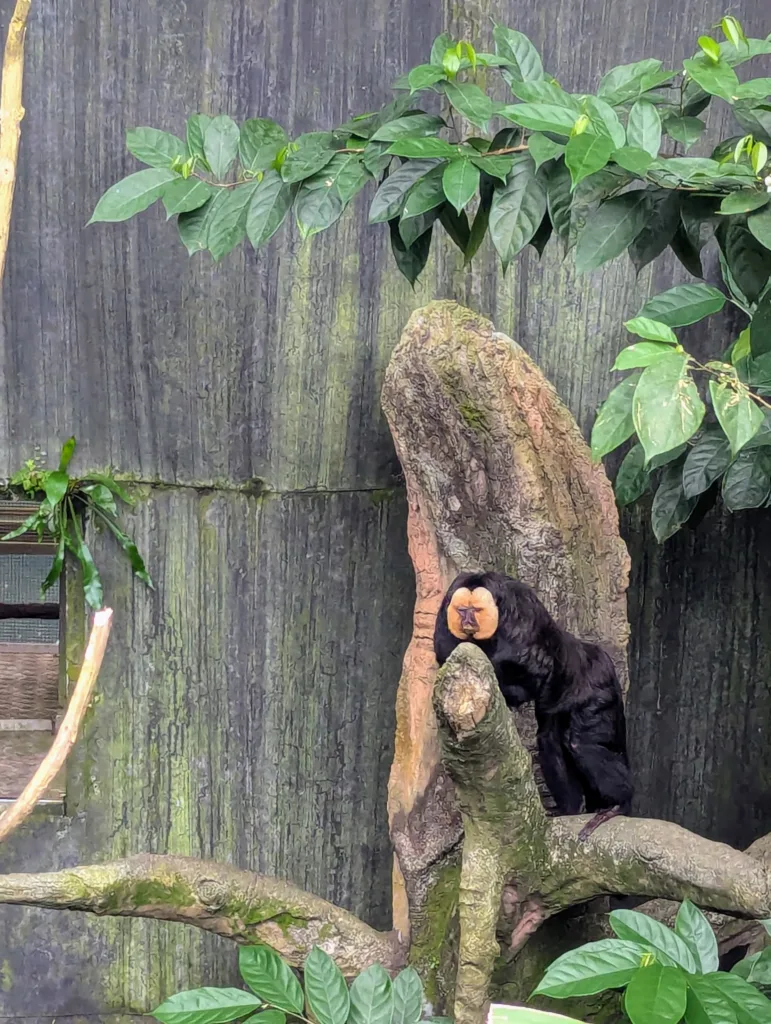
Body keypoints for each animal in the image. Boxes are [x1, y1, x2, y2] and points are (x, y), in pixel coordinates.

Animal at [433, 571, 632, 841]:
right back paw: (572, 809)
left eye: (476, 610)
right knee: (549, 739)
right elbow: (446, 649)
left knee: (582, 743)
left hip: (598, 690)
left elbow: (532, 664)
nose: (467, 621)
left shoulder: (519, 611)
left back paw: (619, 804)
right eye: (462, 610)